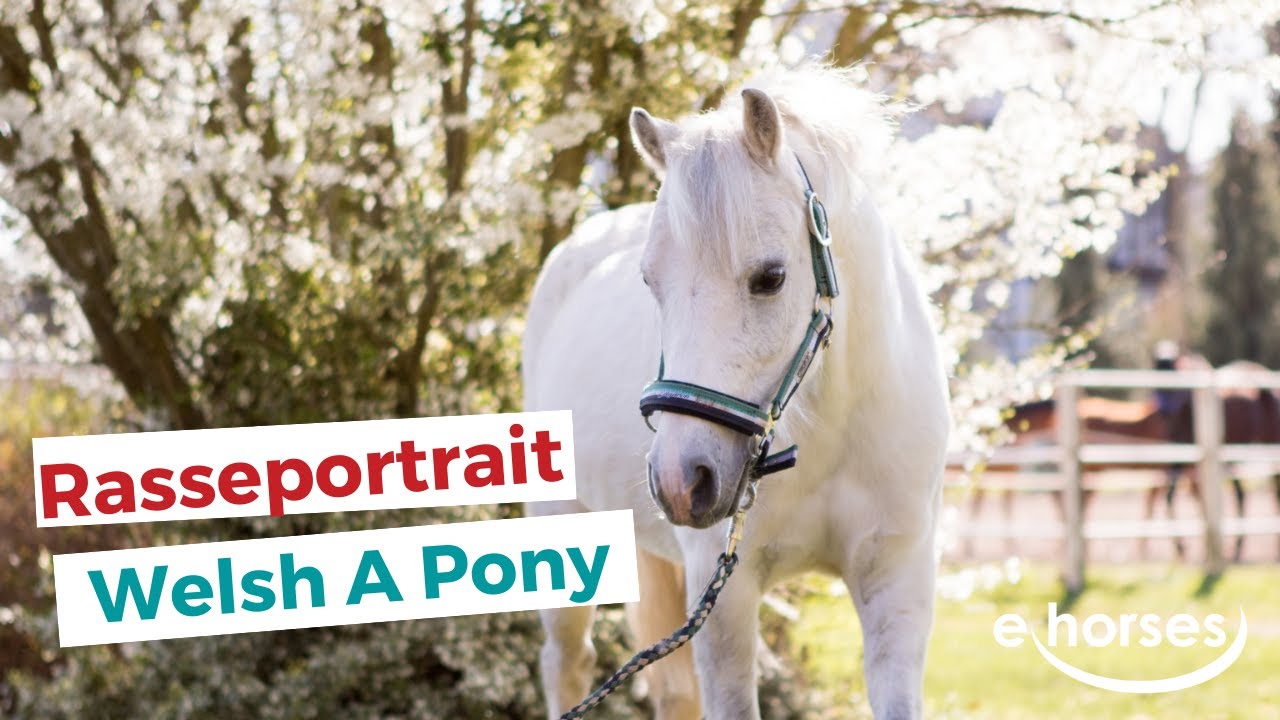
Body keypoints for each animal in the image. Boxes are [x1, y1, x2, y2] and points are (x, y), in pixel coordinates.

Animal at [522, 67, 950, 720]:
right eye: (650, 282)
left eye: (771, 277)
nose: (681, 480)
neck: (828, 428)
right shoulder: (724, 602)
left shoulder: (897, 581)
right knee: (566, 664)